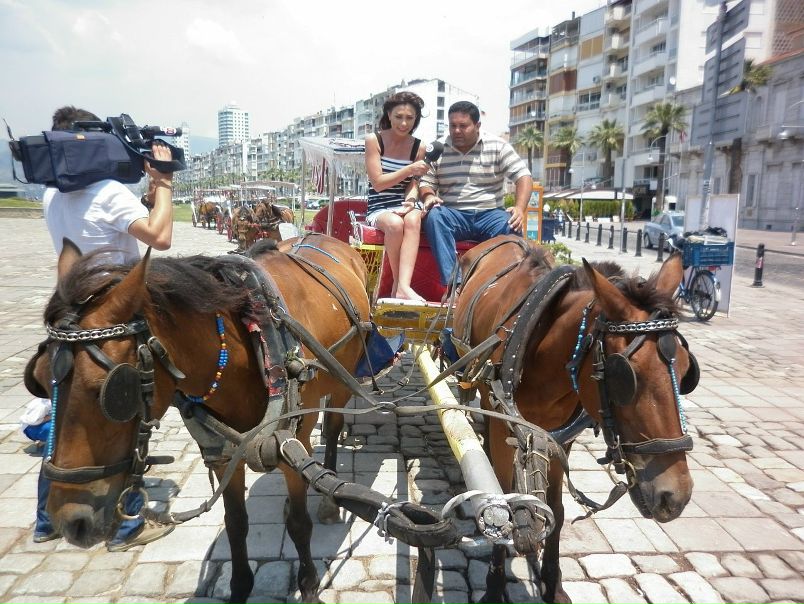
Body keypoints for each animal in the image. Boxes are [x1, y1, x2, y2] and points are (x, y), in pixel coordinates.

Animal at [26, 234, 371, 604]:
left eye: (112, 392)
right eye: (39, 380)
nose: (69, 523)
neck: (255, 345)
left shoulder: (293, 443)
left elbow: (298, 523)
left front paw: (308, 586)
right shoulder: (223, 454)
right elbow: (235, 523)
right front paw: (239, 588)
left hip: (344, 379)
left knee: (332, 429)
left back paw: (328, 502)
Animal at [451, 235, 697, 604]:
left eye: (686, 372)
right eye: (626, 378)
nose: (676, 497)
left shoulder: (559, 436)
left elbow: (558, 506)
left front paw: (552, 582)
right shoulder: (498, 417)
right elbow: (501, 504)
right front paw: (494, 588)